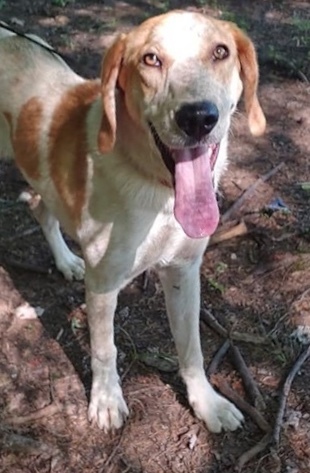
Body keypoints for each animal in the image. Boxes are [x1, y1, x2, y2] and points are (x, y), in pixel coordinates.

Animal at [0, 10, 266, 432]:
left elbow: (191, 347)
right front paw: (107, 401)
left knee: (41, 208)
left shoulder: (183, 270)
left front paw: (206, 402)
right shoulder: (103, 283)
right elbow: (104, 348)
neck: (157, 189)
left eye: (221, 52)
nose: (198, 117)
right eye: (150, 59)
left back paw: (66, 261)